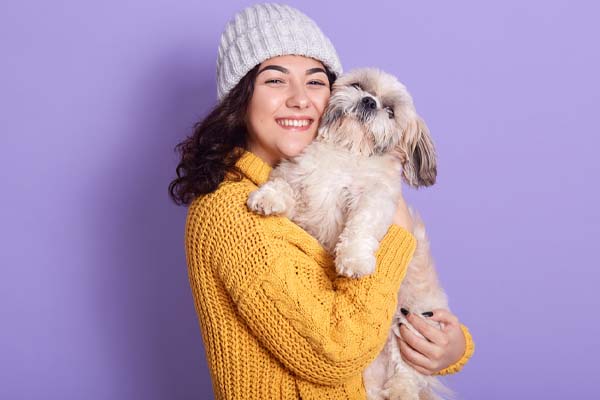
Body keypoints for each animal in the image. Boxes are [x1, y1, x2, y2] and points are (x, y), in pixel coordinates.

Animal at [248, 67, 454, 398]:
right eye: (358, 86)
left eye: (390, 111)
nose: (369, 102)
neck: (345, 153)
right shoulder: (299, 181)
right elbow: (284, 186)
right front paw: (267, 198)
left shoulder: (375, 197)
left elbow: (362, 222)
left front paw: (354, 259)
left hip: (412, 318)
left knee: (407, 369)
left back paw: (400, 390)